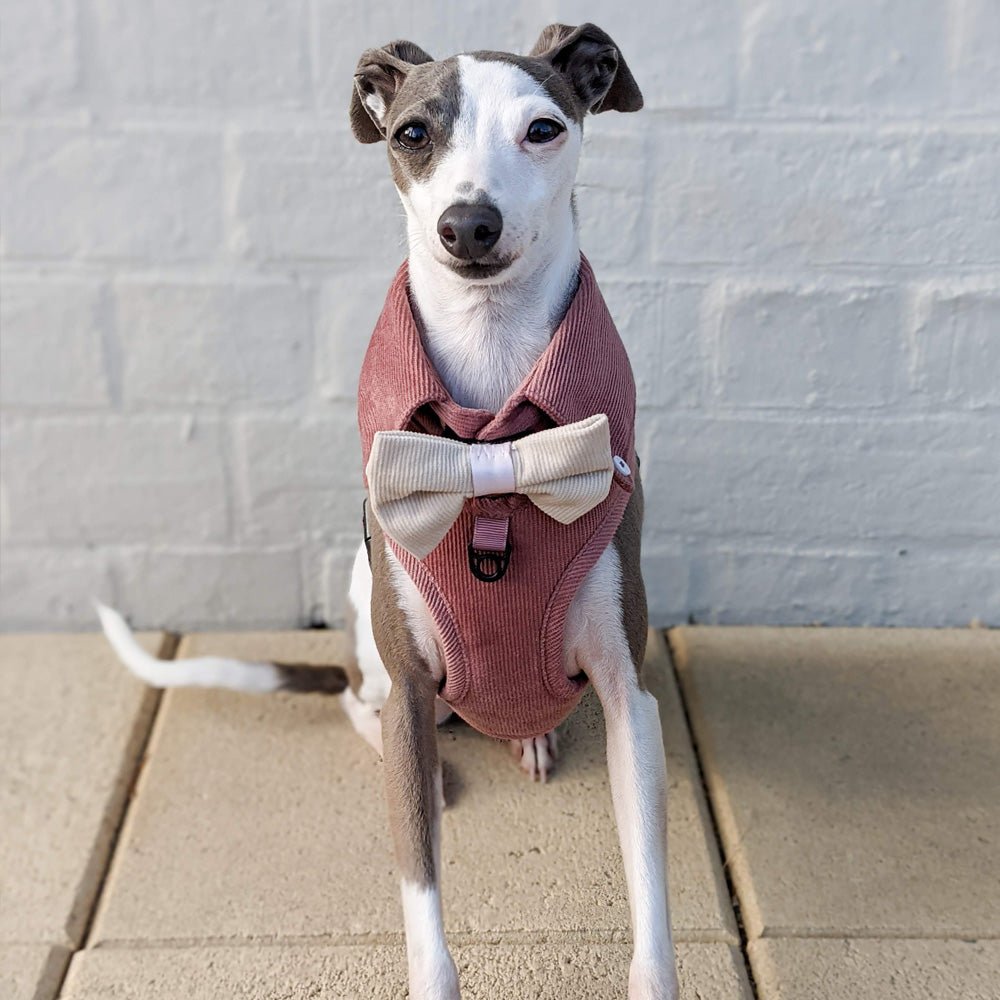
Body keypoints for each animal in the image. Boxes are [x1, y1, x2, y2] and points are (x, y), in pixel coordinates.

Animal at [99, 23, 680, 1000]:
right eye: (413, 133)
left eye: (544, 128)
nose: (468, 225)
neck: (489, 431)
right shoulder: (410, 686)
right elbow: (424, 917)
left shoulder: (628, 697)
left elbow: (651, 906)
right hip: (375, 650)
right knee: (353, 703)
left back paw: (533, 738)